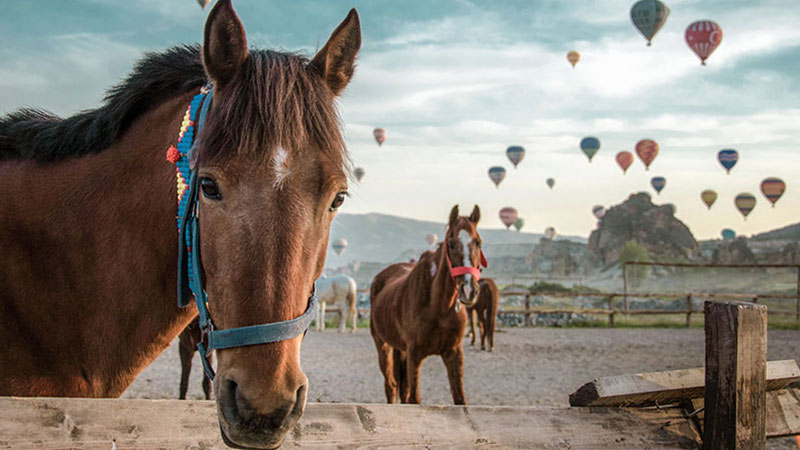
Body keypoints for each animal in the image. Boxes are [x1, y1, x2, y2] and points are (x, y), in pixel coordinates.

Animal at [370, 204, 488, 404]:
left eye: (478, 243)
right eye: (451, 244)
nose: (468, 290)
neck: (438, 306)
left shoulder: (454, 353)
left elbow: (460, 400)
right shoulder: (415, 355)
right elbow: (414, 398)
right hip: (383, 346)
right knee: (391, 386)